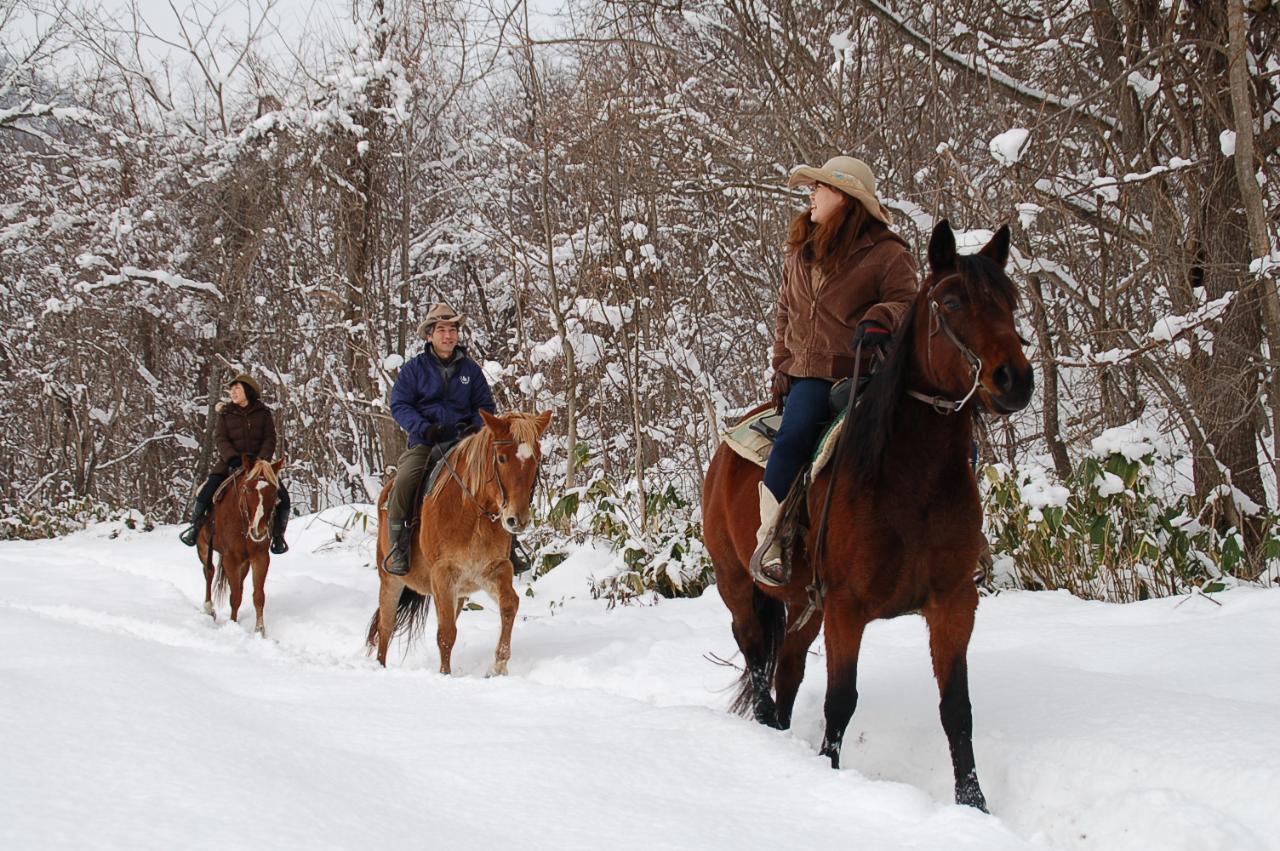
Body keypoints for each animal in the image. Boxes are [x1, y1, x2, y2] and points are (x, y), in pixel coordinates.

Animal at [197, 458, 285, 629]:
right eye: (247, 489)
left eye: (273, 491)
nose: (259, 531)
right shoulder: (230, 558)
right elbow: (235, 596)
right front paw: (232, 624)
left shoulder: (260, 557)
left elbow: (258, 596)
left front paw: (260, 630)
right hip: (203, 546)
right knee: (209, 571)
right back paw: (209, 608)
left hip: (244, 562)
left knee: (239, 584)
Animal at [368, 409, 552, 675]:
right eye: (502, 458)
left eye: (536, 460)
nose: (517, 520)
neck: (472, 514)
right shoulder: (443, 573)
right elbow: (446, 634)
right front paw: (445, 675)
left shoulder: (495, 569)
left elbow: (509, 605)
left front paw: (499, 665)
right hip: (391, 580)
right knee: (386, 626)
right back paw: (379, 667)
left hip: (459, 591)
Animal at [706, 220, 1034, 808]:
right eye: (952, 301)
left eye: (1011, 300)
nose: (1014, 380)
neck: (910, 482)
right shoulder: (847, 606)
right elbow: (841, 700)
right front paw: (828, 772)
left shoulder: (953, 603)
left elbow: (957, 710)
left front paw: (973, 804)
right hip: (737, 584)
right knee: (756, 654)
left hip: (805, 606)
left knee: (787, 665)